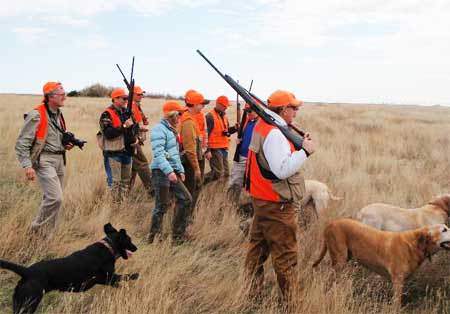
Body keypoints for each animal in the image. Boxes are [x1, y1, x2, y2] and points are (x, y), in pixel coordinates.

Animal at [312, 218, 450, 306]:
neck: (415, 244)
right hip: (339, 262)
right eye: (444, 230)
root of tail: (331, 223)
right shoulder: (397, 281)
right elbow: (396, 303)